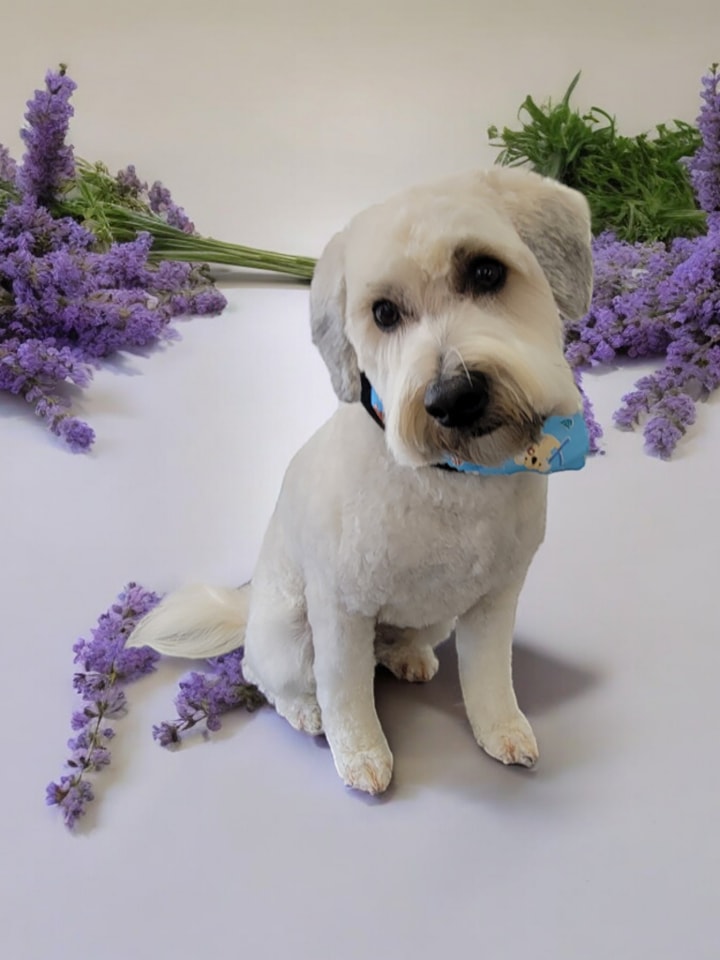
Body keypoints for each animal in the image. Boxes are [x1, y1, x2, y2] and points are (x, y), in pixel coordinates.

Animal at [128, 167, 593, 795]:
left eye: (486, 271)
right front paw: (362, 755)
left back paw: (407, 655)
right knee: (268, 674)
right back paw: (305, 710)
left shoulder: (496, 598)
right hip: (288, 628)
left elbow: (490, 675)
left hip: (436, 615)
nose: (454, 397)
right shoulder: (340, 609)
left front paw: (502, 729)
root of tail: (246, 612)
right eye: (385, 314)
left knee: (400, 641)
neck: (453, 481)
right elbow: (347, 693)